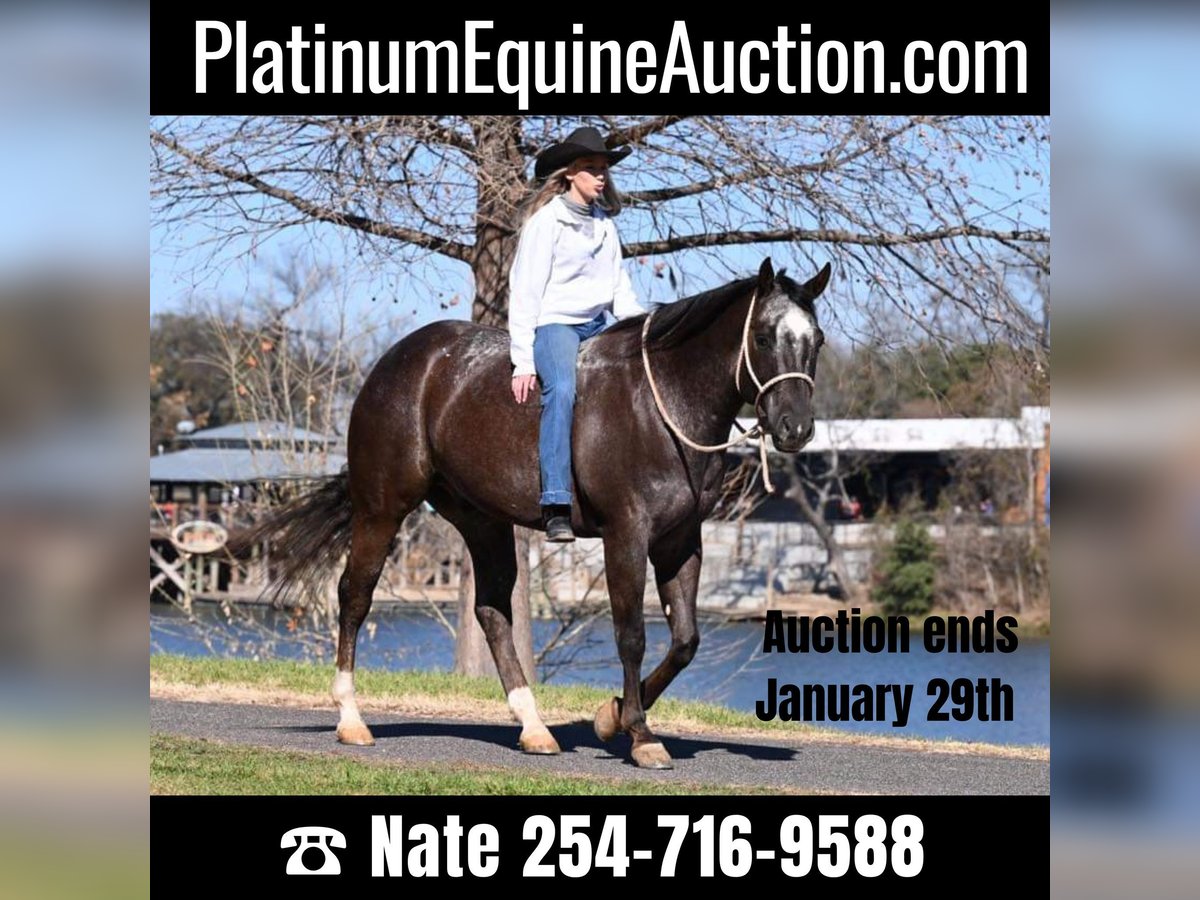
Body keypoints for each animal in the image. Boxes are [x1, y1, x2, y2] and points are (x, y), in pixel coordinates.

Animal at [246, 257, 829, 769]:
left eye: (816, 341)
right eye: (763, 337)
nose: (796, 427)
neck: (663, 404)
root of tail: (397, 361)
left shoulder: (681, 541)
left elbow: (685, 640)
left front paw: (611, 717)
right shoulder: (626, 536)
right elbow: (632, 636)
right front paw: (639, 735)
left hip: (482, 520)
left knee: (491, 612)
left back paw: (534, 728)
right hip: (382, 507)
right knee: (354, 595)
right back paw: (351, 719)